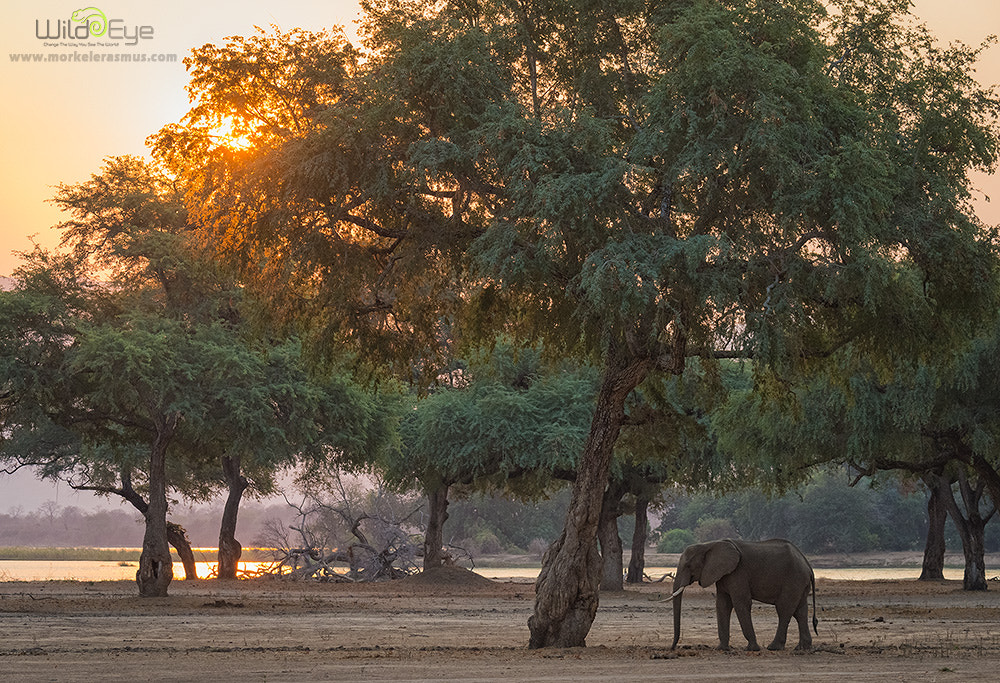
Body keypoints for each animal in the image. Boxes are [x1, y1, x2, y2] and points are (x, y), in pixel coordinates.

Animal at [670, 538, 817, 652]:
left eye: (688, 565)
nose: (672, 647)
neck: (709, 544)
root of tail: (808, 565)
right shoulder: (723, 574)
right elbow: (722, 605)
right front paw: (721, 649)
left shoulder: (738, 572)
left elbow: (741, 603)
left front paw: (752, 649)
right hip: (800, 583)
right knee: (800, 611)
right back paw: (802, 648)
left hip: (793, 579)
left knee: (784, 609)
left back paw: (774, 647)